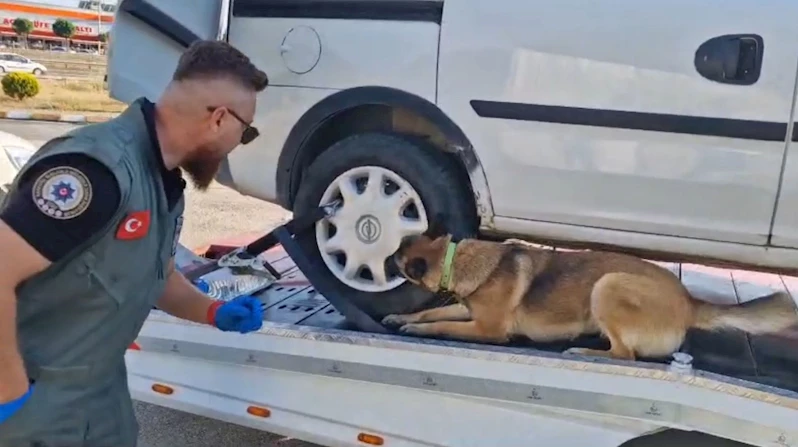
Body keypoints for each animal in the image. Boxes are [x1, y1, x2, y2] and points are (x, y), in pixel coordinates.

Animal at [382, 222, 798, 362]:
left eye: (395, 254)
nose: (381, 260)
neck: (456, 257)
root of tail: (689, 302)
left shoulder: (488, 330)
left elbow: (439, 325)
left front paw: (415, 329)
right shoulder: (470, 313)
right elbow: (431, 312)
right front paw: (402, 316)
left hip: (607, 285)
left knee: (626, 355)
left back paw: (584, 351)